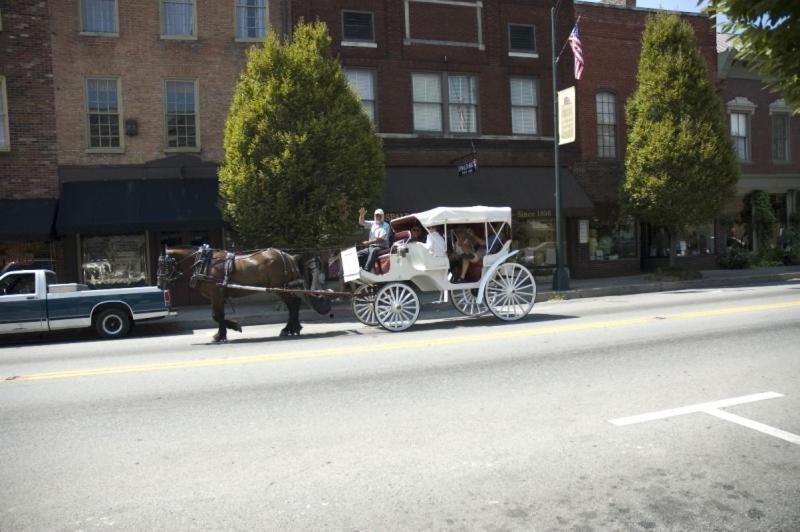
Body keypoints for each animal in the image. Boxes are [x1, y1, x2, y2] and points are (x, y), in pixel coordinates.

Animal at [156, 244, 332, 340]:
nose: (159, 284)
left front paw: (223, 333)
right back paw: (292, 328)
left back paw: (290, 328)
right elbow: (218, 316)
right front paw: (228, 330)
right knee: (293, 305)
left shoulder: (216, 293)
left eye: (162, 264)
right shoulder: (218, 295)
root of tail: (290, 257)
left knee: (294, 304)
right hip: (282, 288)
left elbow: (217, 316)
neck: (204, 263)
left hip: (280, 288)